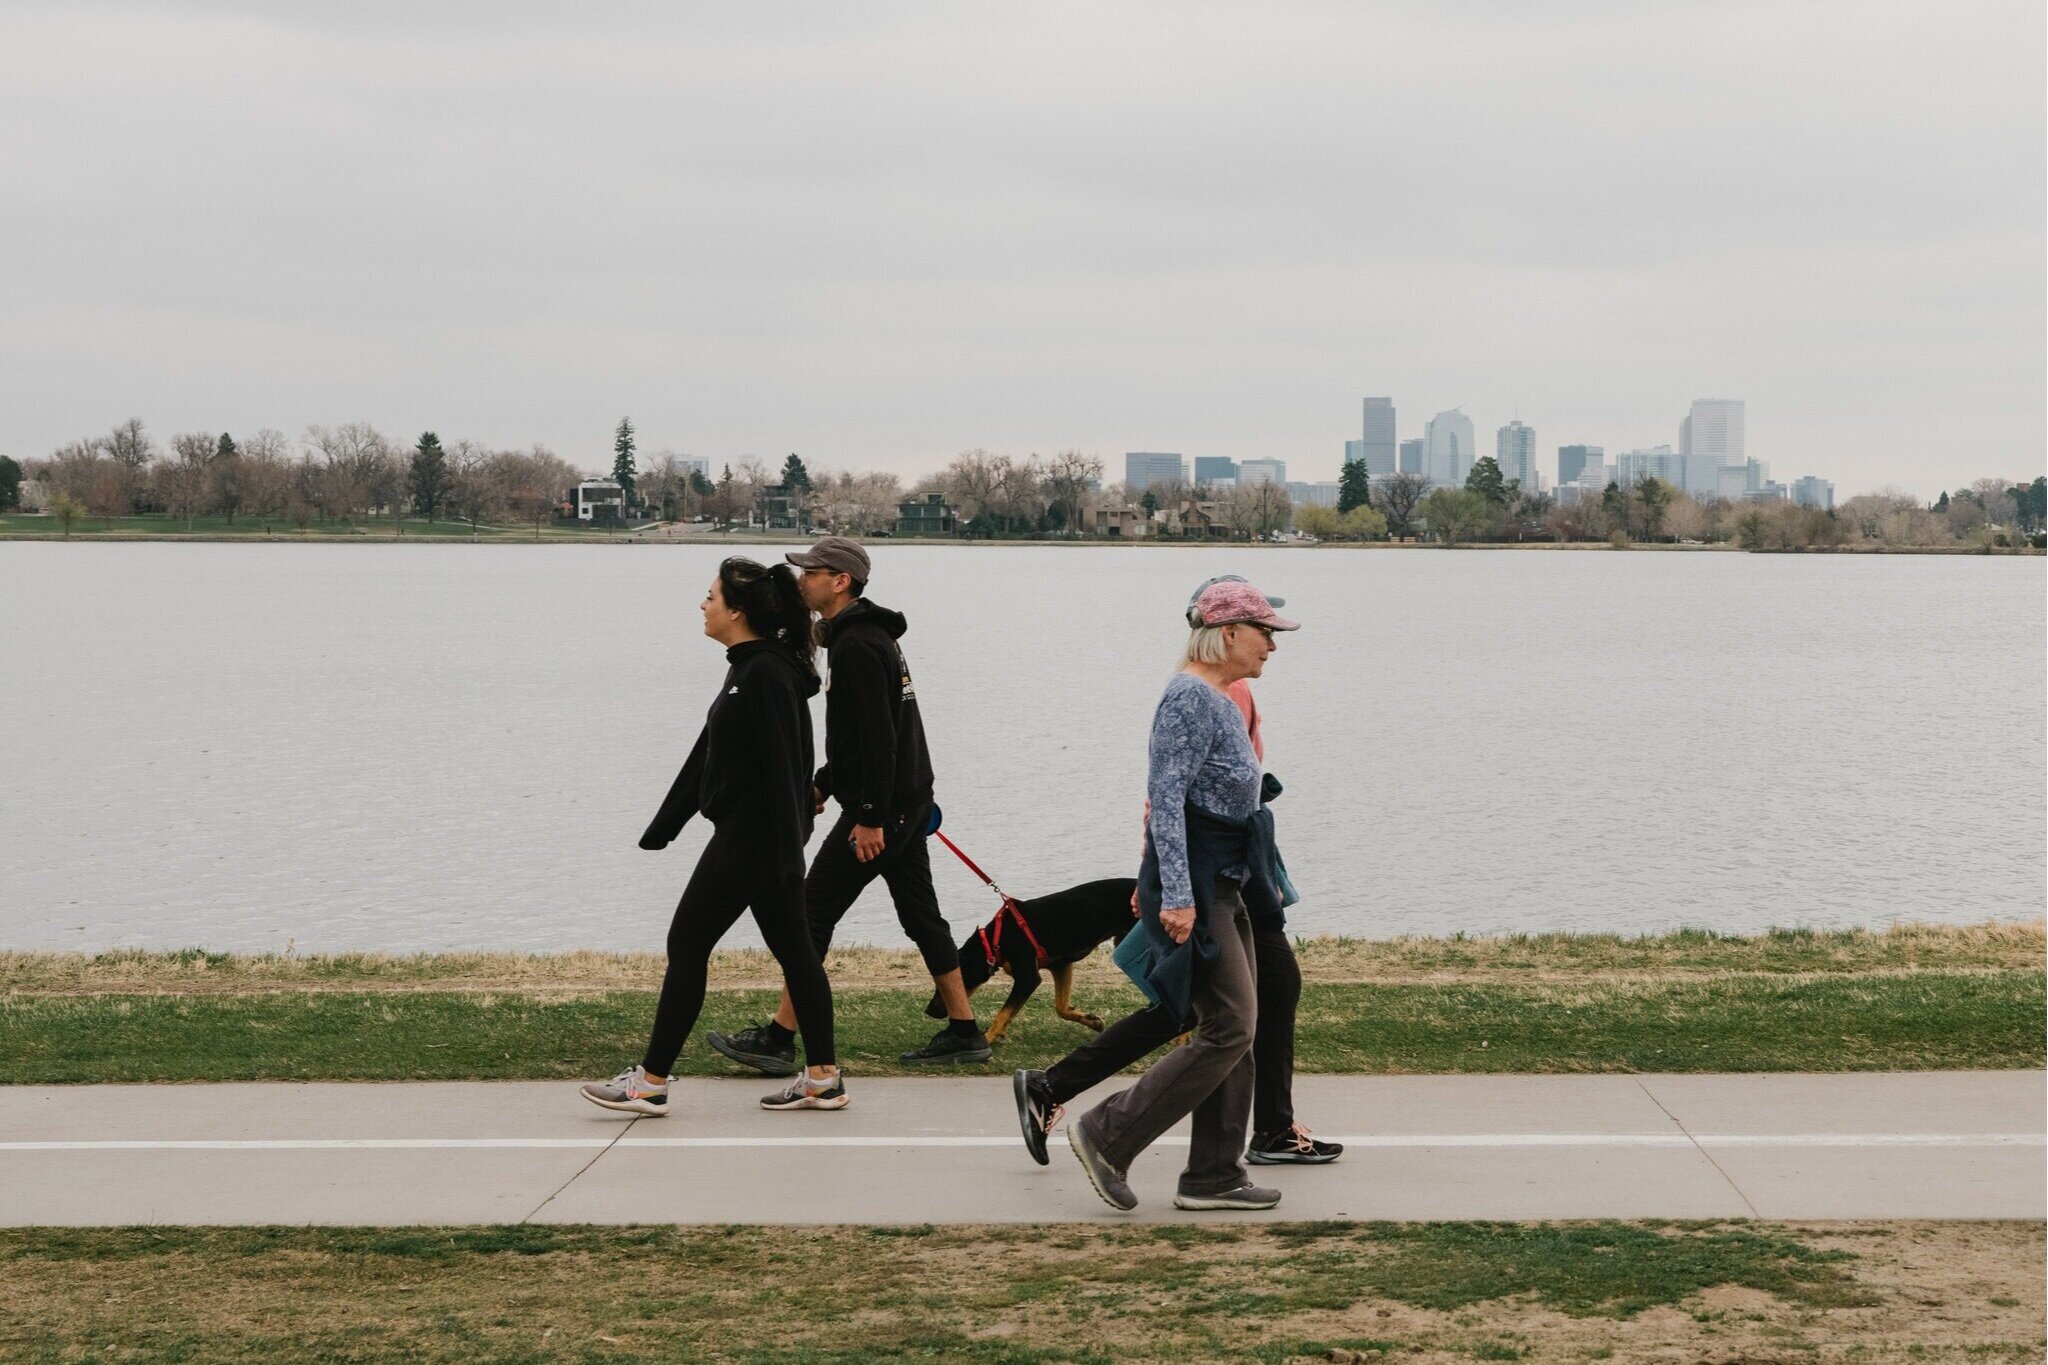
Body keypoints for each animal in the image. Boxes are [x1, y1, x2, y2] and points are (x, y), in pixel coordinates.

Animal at [925, 879, 1138, 1039]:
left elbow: (1003, 1014)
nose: (928, 1011)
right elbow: (1060, 1007)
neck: (994, 941)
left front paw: (987, 1039)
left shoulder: (1028, 978)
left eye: (943, 985)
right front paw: (1091, 1021)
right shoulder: (1061, 965)